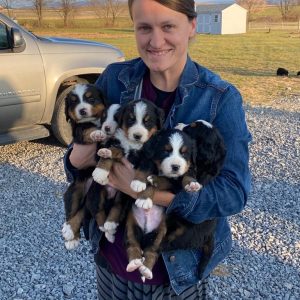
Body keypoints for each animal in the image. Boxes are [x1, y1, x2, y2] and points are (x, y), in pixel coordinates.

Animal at [89, 99, 164, 243]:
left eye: (147, 122)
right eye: (131, 119)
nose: (137, 135)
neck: (132, 144)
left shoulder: (149, 156)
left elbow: (145, 168)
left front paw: (138, 183)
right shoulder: (116, 144)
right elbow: (109, 154)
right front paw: (100, 171)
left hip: (123, 195)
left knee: (117, 207)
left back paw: (111, 225)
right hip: (97, 191)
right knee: (98, 210)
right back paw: (107, 229)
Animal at [127, 120, 227, 282]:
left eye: (191, 128)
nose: (179, 123)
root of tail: (210, 235)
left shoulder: (180, 182)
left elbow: (174, 179)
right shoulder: (151, 159)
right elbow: (145, 166)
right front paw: (140, 180)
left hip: (179, 235)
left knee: (158, 247)